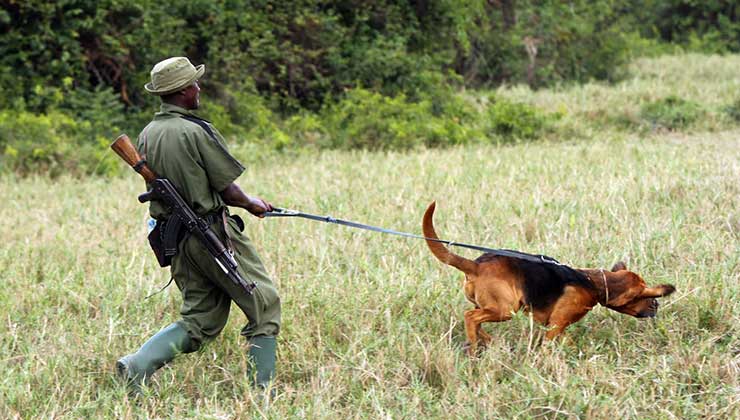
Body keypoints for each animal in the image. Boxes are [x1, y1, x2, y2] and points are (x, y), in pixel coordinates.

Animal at [422, 202, 676, 352]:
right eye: (647, 296)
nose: (657, 306)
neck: (594, 283)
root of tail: (476, 265)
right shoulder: (556, 326)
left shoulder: (556, 328)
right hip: (506, 309)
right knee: (470, 317)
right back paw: (475, 346)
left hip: (492, 306)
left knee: (476, 321)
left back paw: (485, 341)